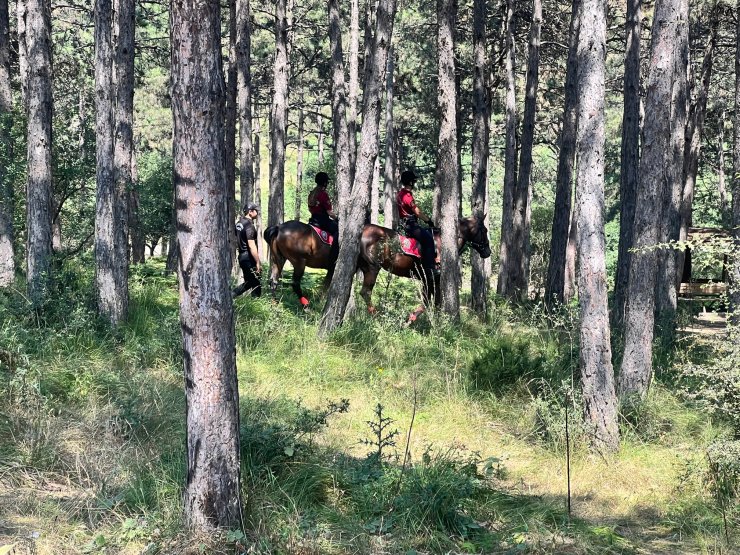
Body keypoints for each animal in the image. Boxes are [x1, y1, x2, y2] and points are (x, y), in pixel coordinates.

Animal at [356, 217, 492, 322]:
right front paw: (412, 319)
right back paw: (376, 316)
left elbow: (431, 301)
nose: (488, 252)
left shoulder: (426, 280)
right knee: (366, 292)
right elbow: (430, 302)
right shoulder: (432, 279)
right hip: (372, 267)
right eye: (485, 230)